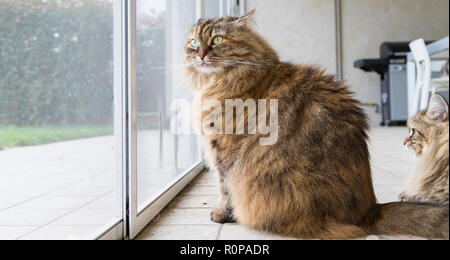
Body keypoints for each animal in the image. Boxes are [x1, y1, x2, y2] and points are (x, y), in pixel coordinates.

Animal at [182, 9, 446, 240]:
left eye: (217, 40)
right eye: (193, 43)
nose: (200, 54)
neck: (222, 83)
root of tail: (369, 210)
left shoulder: (222, 152)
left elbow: (224, 189)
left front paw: (222, 215)